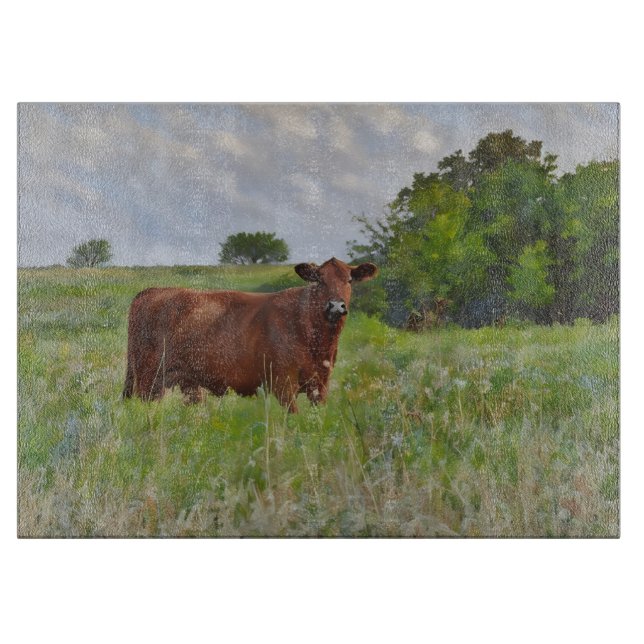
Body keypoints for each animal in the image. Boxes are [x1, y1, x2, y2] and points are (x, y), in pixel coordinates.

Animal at [122, 257, 378, 412]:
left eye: (349, 280)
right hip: (148, 379)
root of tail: (151, 291)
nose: (336, 306)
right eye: (319, 280)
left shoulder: (320, 385)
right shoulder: (283, 384)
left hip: (186, 383)